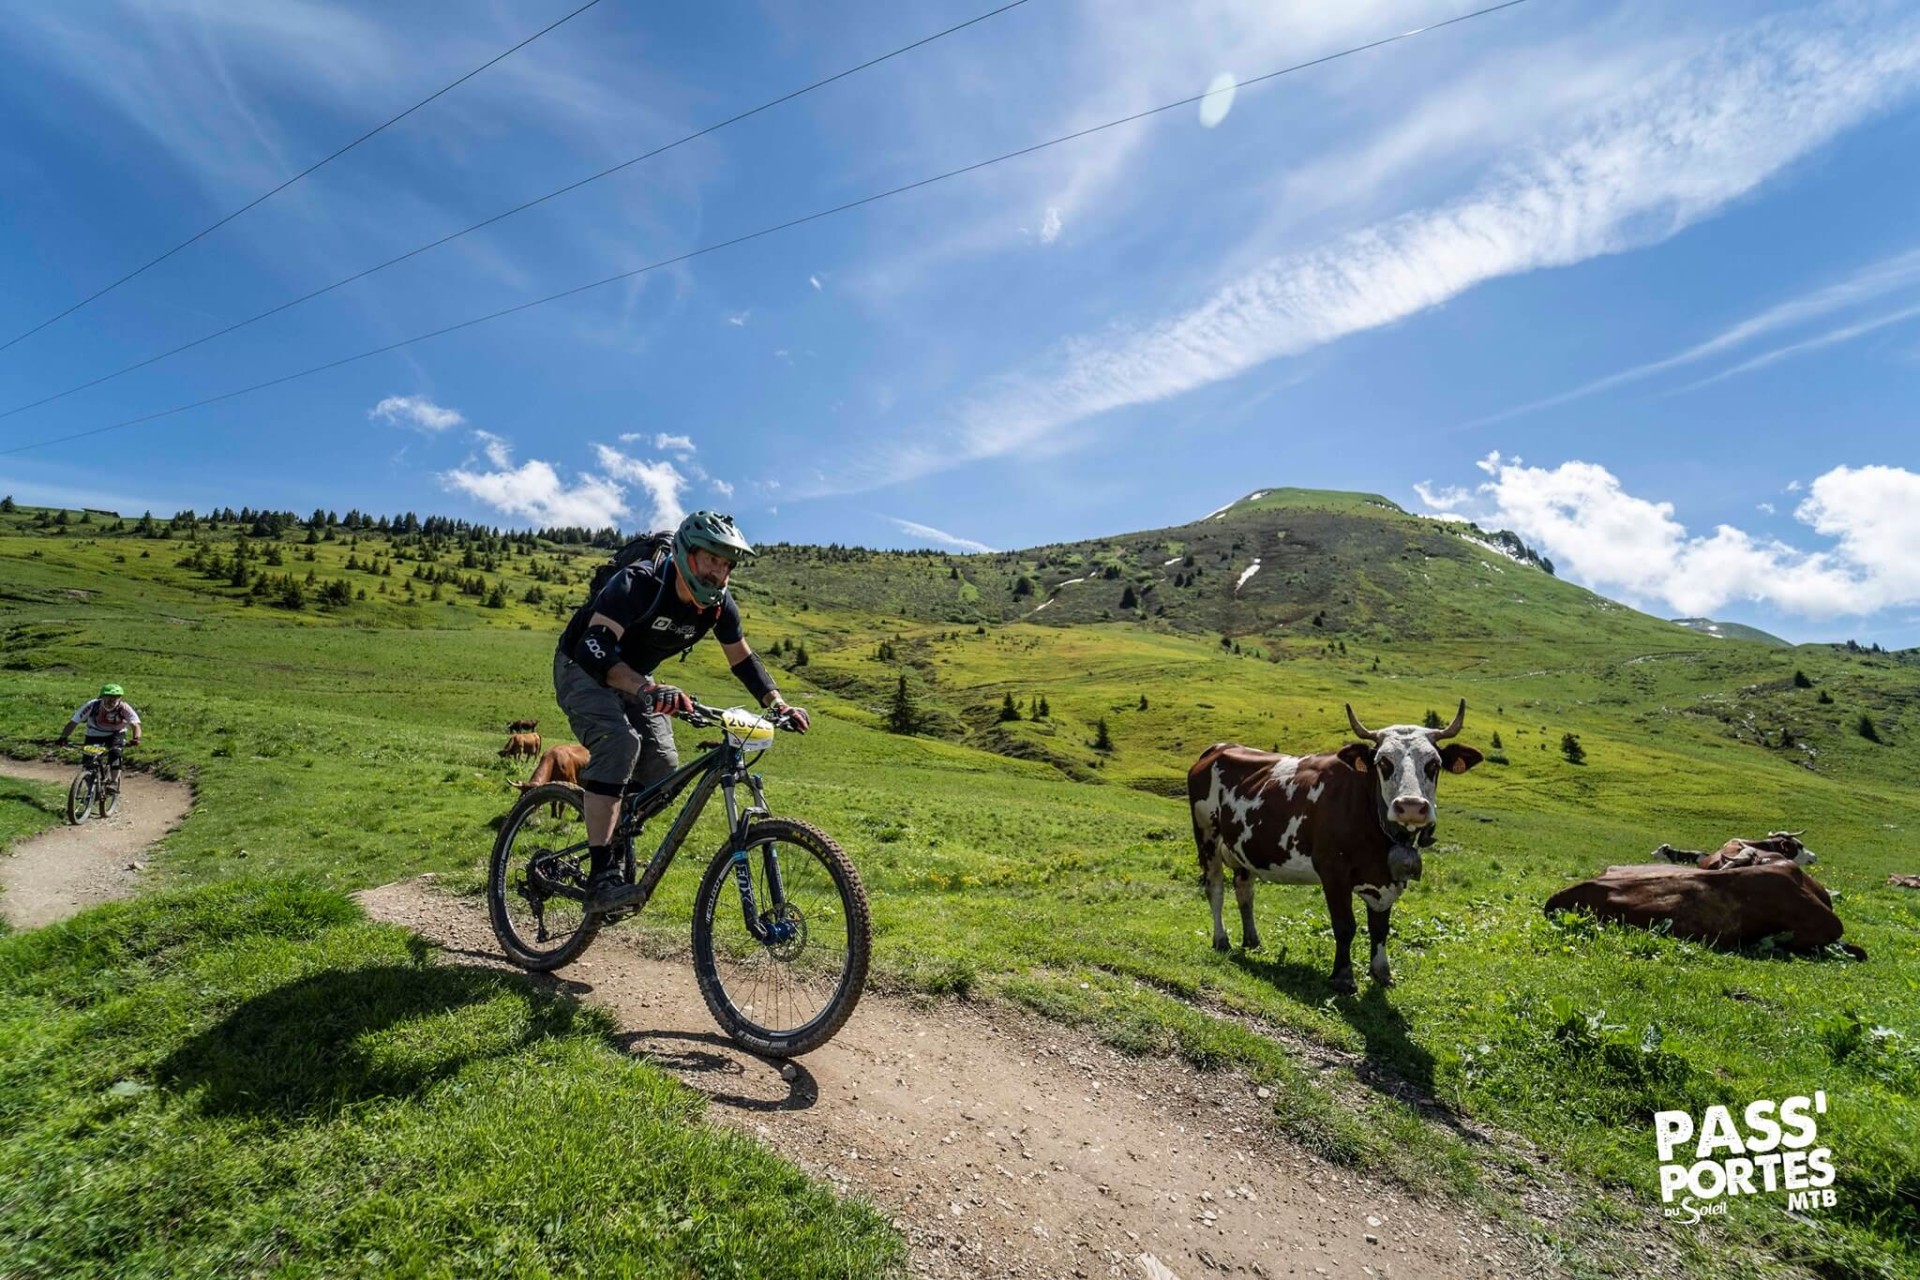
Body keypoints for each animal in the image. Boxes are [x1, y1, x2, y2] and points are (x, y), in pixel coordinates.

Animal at [1182, 702, 1482, 990]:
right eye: (1383, 762)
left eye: (1434, 763)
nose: (1410, 806)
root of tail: (1218, 748)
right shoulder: (1333, 872)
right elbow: (1345, 926)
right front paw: (1343, 977)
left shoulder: (1386, 877)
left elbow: (1380, 928)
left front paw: (1381, 972)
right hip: (1207, 837)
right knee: (1216, 889)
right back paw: (1221, 940)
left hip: (1243, 847)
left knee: (1245, 890)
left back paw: (1252, 941)